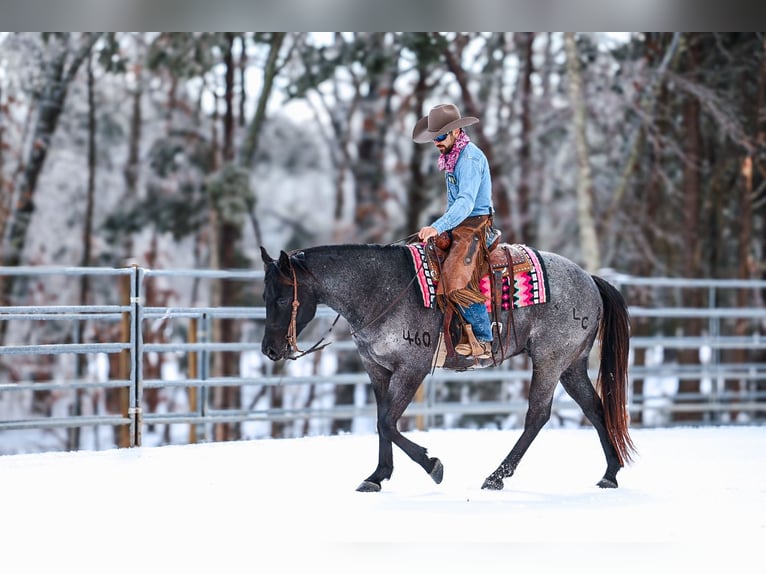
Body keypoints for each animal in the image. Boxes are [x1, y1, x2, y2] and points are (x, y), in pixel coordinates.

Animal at [260, 243, 635, 492]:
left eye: (282, 298)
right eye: (264, 297)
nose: (270, 350)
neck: (379, 289)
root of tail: (589, 279)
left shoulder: (411, 369)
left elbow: (387, 422)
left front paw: (433, 465)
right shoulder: (377, 369)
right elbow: (382, 422)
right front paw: (377, 476)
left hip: (549, 359)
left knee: (537, 415)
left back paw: (496, 476)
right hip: (571, 364)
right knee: (594, 408)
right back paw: (610, 474)